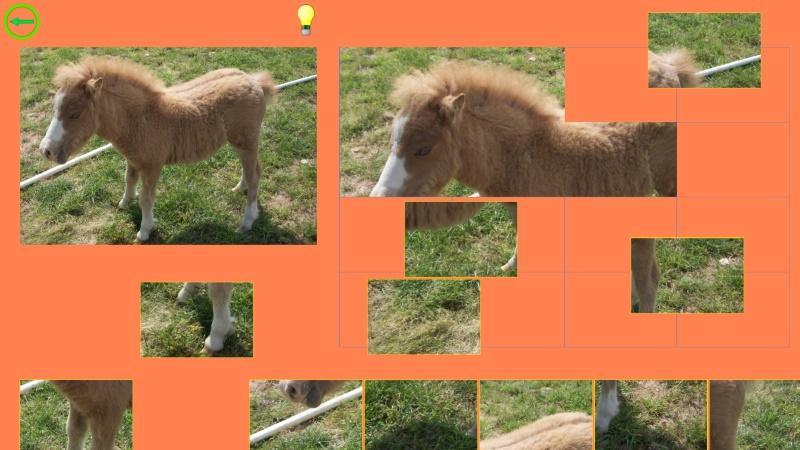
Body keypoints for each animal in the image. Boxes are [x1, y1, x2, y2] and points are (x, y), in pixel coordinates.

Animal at [38, 56, 277, 241]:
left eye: (75, 114)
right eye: (55, 107)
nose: (46, 150)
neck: (140, 119)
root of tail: (253, 81)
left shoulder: (153, 166)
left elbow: (146, 199)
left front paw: (144, 231)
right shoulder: (133, 160)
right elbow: (128, 180)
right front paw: (124, 203)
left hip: (247, 141)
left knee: (255, 175)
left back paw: (246, 222)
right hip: (239, 143)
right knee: (252, 169)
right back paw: (240, 189)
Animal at [370, 51, 700, 312]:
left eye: (423, 149)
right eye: (391, 139)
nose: (379, 197)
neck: (529, 153)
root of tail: (670, 66)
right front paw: (508, 267)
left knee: (650, 275)